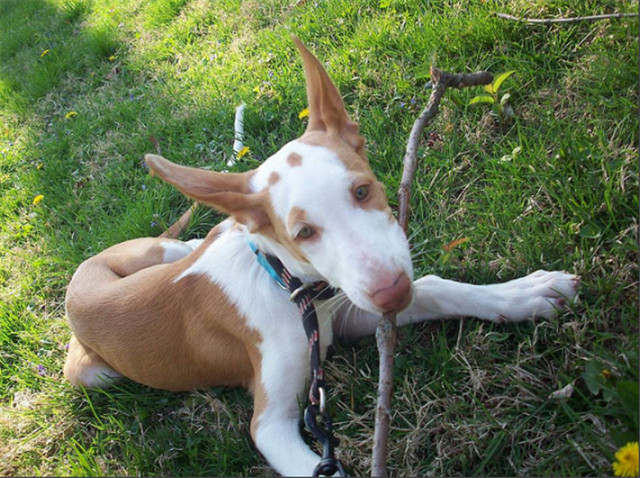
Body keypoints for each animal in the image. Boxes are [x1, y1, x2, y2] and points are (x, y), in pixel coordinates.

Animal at [63, 37, 579, 476]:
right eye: (304, 233)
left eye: (362, 191)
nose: (392, 292)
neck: (288, 286)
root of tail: (79, 279)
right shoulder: (270, 424)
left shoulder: (350, 312)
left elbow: (438, 289)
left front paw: (524, 293)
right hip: (92, 373)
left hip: (166, 247)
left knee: (193, 242)